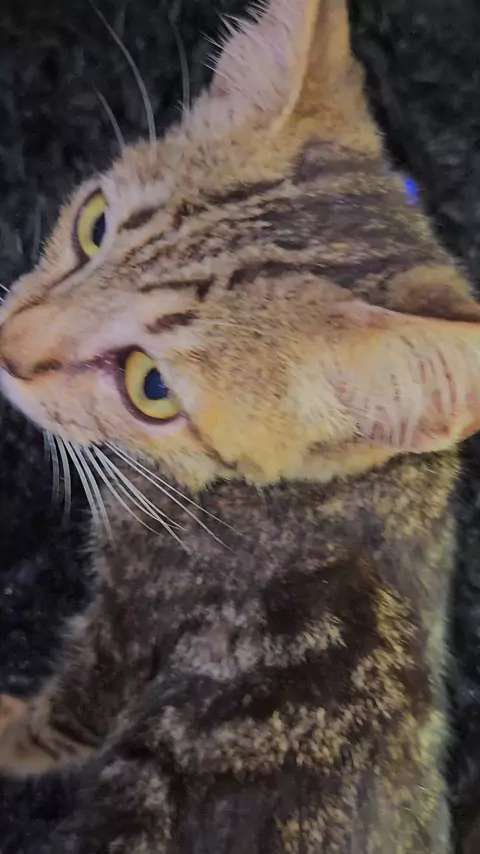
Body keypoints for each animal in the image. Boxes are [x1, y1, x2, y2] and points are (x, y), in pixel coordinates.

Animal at [1, 0, 480, 850]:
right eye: (93, 224)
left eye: (152, 386)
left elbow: (66, 715)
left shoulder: (133, 622)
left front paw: (5, 729)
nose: (6, 348)